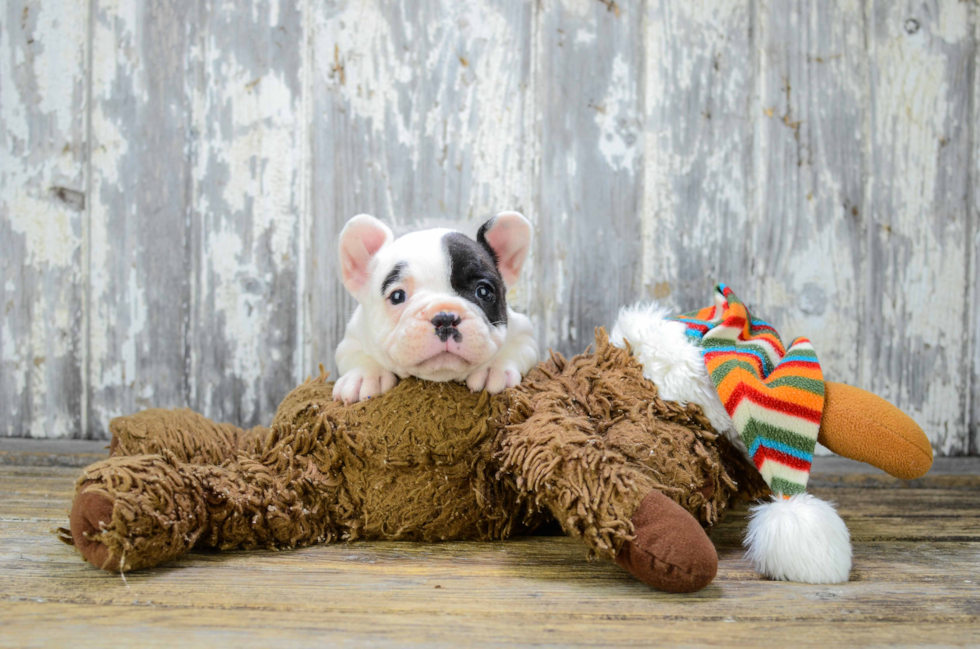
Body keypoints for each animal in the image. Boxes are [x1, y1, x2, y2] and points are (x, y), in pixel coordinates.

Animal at [334, 213, 540, 402]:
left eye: (483, 292)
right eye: (397, 296)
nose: (446, 318)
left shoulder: (524, 333)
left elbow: (513, 348)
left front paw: (494, 367)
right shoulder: (352, 338)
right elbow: (357, 355)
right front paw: (364, 375)